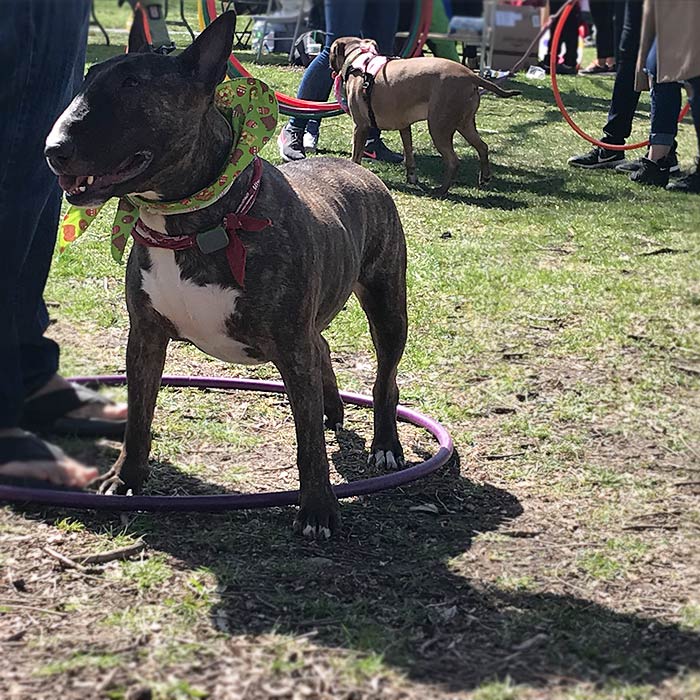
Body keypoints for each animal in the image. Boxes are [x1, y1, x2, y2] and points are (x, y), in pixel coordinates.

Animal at [332, 38, 520, 197]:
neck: (359, 60)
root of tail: (470, 74)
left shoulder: (361, 126)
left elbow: (356, 156)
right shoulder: (404, 127)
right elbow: (409, 155)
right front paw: (411, 178)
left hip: (439, 128)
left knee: (453, 161)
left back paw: (442, 190)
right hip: (465, 124)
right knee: (483, 147)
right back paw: (484, 177)